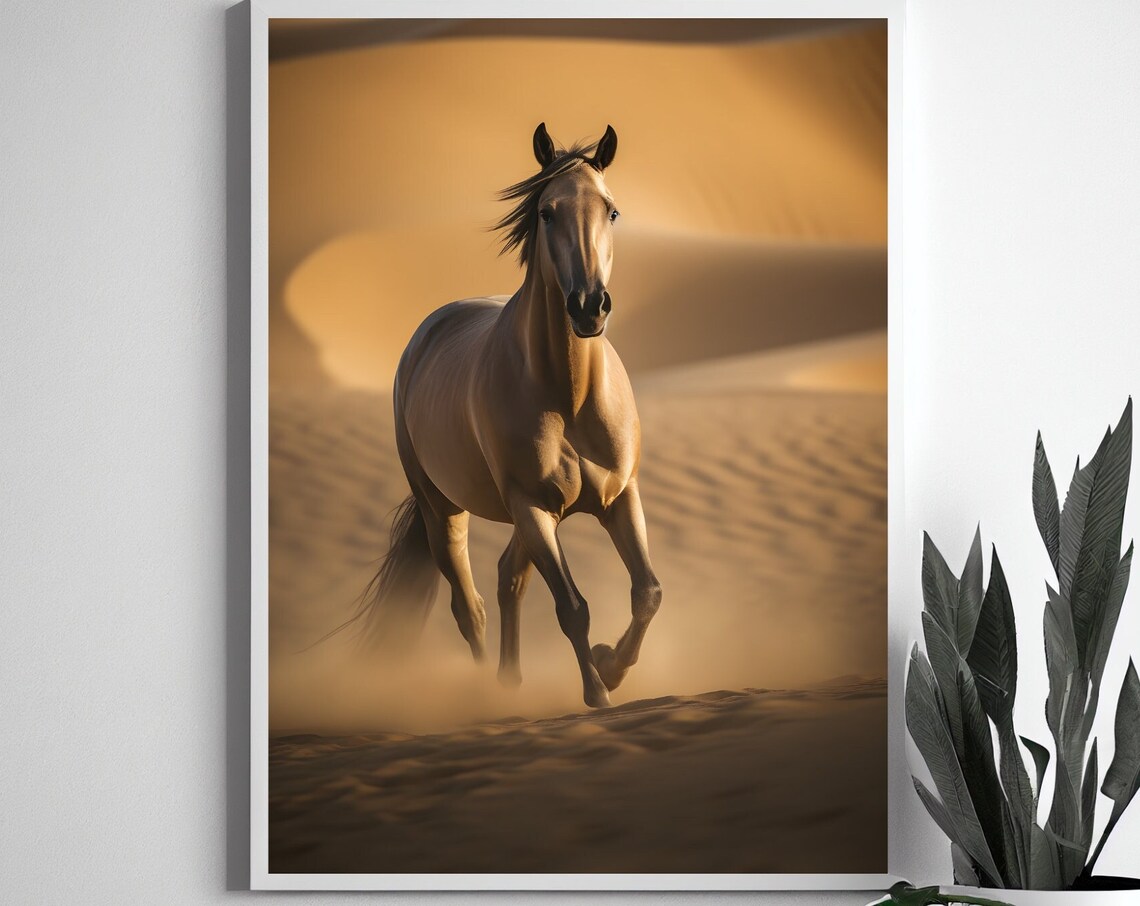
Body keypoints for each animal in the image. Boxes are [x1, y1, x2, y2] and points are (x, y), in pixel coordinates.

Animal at [358, 123, 661, 709]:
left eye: (611, 210)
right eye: (547, 211)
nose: (589, 306)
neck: (570, 396)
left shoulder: (619, 497)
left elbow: (647, 592)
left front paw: (610, 666)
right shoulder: (532, 506)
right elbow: (573, 607)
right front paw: (598, 692)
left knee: (506, 580)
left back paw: (511, 679)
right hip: (446, 510)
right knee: (469, 605)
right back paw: (489, 692)